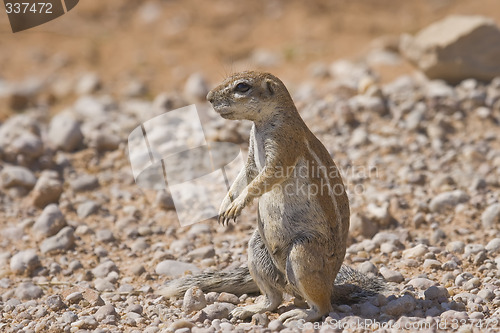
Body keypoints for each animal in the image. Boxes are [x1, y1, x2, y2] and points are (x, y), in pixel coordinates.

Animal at [160, 70, 382, 322]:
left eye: (242, 86)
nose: (208, 97)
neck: (261, 124)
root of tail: (332, 284)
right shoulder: (250, 157)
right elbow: (243, 176)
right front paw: (225, 204)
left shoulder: (283, 147)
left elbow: (263, 179)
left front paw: (237, 204)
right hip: (257, 249)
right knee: (274, 298)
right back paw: (251, 309)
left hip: (303, 254)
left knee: (322, 306)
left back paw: (299, 315)